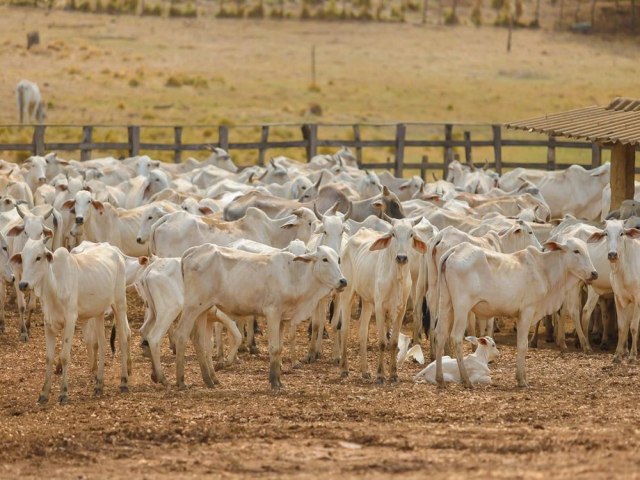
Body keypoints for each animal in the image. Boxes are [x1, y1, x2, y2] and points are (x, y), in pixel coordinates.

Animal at [11, 239, 131, 402]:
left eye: (38, 257)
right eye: (22, 258)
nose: (23, 284)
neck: (54, 287)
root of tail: (115, 251)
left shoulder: (70, 321)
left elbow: (64, 357)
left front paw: (63, 393)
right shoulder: (48, 323)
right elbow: (49, 357)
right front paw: (44, 393)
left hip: (119, 304)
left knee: (123, 340)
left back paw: (124, 382)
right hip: (99, 313)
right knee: (102, 344)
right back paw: (99, 385)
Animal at [175, 244, 344, 390]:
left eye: (338, 259)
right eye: (325, 259)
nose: (343, 281)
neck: (293, 275)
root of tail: (195, 250)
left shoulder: (282, 319)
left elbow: (280, 348)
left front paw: (278, 380)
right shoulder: (272, 313)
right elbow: (274, 348)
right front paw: (274, 382)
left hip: (203, 309)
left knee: (198, 340)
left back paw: (210, 380)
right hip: (192, 307)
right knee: (182, 335)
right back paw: (181, 381)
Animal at [432, 238, 596, 388]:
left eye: (587, 250)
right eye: (576, 251)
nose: (594, 273)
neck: (544, 270)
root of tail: (455, 250)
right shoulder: (527, 311)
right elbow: (523, 345)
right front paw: (522, 380)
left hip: (445, 303)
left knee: (440, 334)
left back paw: (440, 379)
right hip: (462, 306)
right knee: (456, 337)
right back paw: (466, 380)